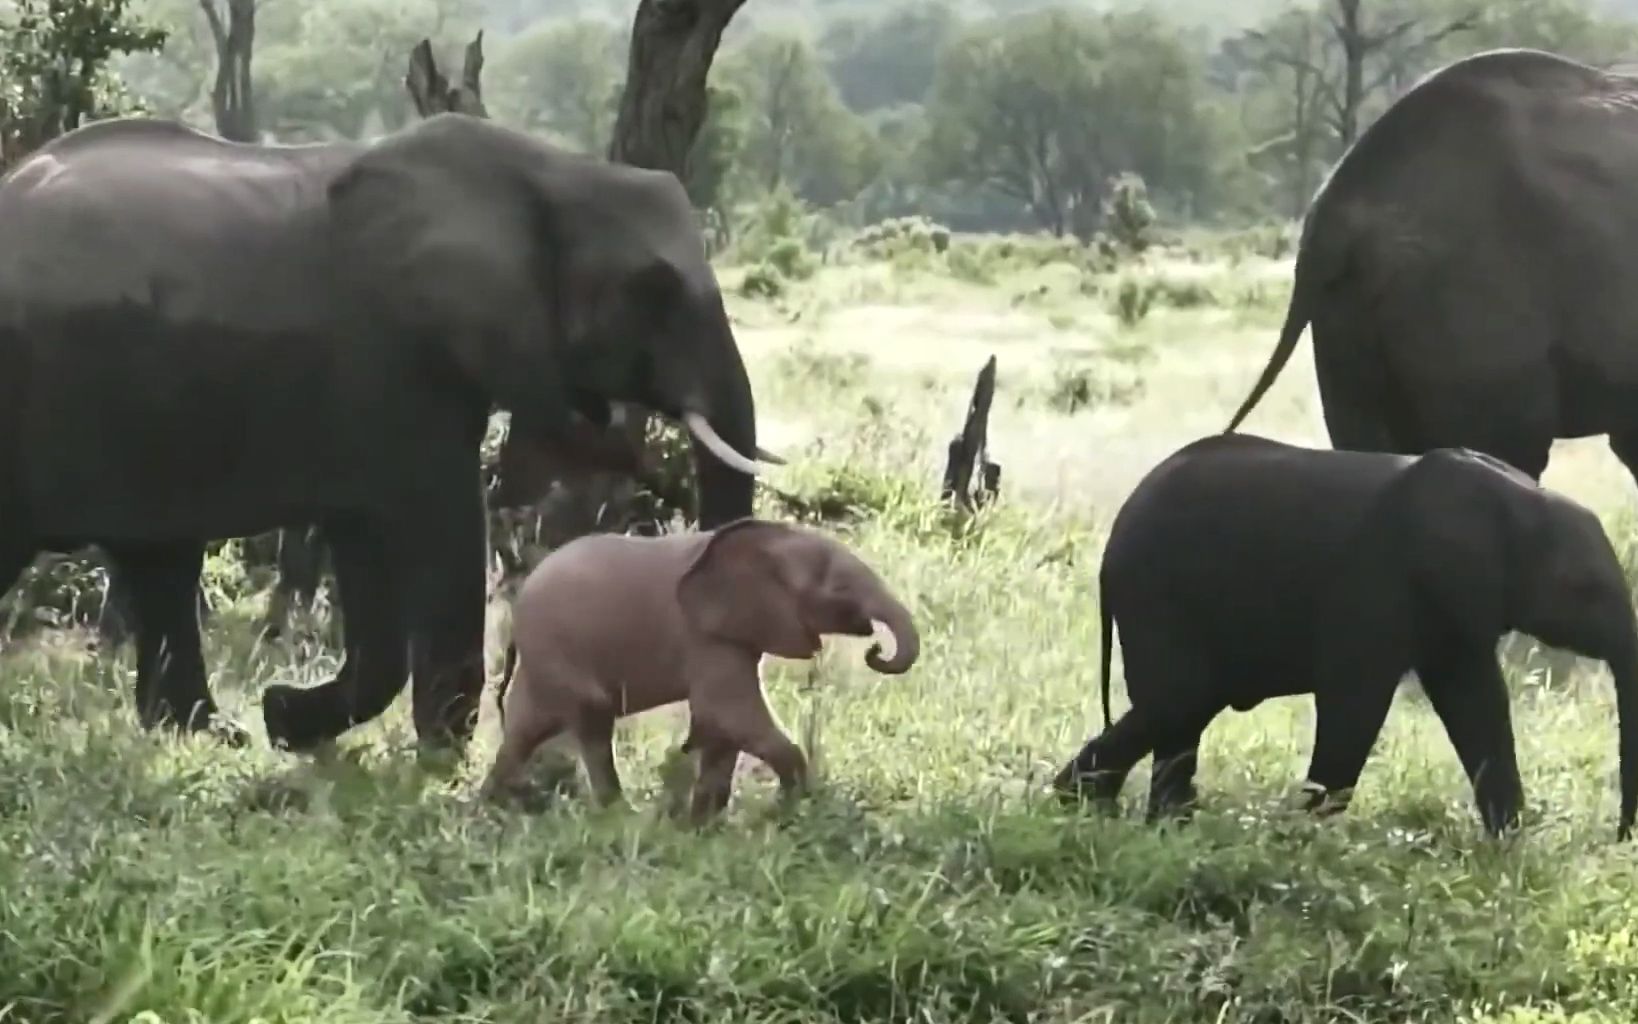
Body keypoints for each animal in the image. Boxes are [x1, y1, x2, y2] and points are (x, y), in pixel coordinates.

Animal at [0, 113, 779, 750]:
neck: (554, 172)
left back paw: (210, 734)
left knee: (163, 562)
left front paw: (287, 722)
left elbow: (366, 548)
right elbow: (441, 527)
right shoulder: (399, 364)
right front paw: (440, 753)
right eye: (655, 291)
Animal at [481, 514, 923, 819]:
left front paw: (702, 826)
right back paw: (619, 818)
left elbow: (722, 728)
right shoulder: (707, 637)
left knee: (526, 731)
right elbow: (730, 714)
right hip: (557, 651)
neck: (768, 539)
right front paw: (785, 811)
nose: (875, 650)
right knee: (591, 722)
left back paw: (491, 808)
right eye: (839, 588)